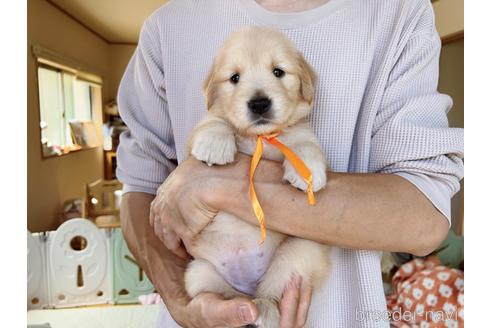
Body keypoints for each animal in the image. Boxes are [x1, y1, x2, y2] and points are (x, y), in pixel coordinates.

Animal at [184, 26, 330, 326]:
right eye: (234, 78)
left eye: (278, 72)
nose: (260, 104)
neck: (258, 138)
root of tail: (249, 286)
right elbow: (214, 121)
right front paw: (214, 143)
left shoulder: (300, 132)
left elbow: (305, 144)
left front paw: (307, 171)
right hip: (199, 272)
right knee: (232, 296)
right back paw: (245, 309)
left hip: (298, 252)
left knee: (271, 292)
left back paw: (264, 310)